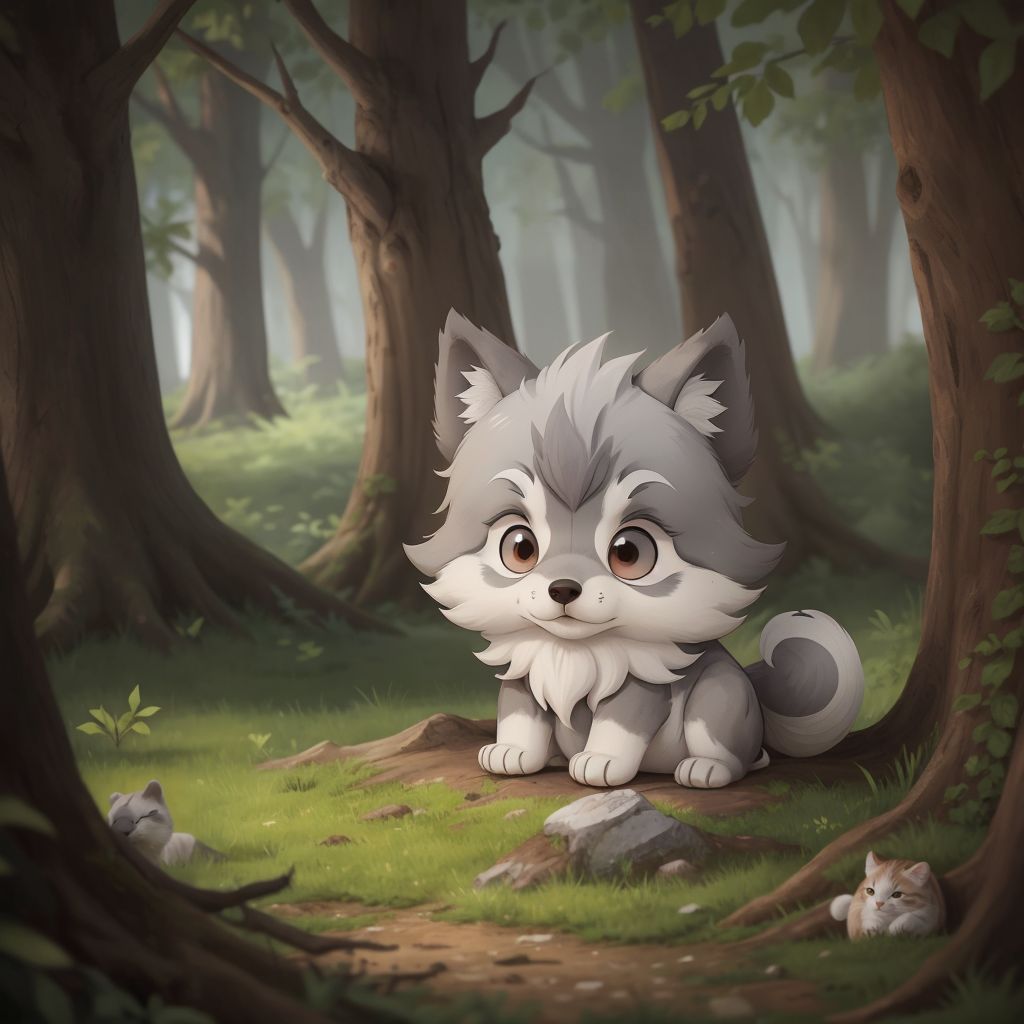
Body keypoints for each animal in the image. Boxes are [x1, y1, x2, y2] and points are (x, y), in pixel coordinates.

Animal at [405, 311, 864, 789]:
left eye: (629, 553)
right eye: (520, 548)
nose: (563, 588)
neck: (572, 653)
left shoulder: (643, 687)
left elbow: (620, 722)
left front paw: (599, 761)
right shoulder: (524, 677)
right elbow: (518, 714)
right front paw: (513, 753)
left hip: (720, 696)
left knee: (739, 750)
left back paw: (708, 769)